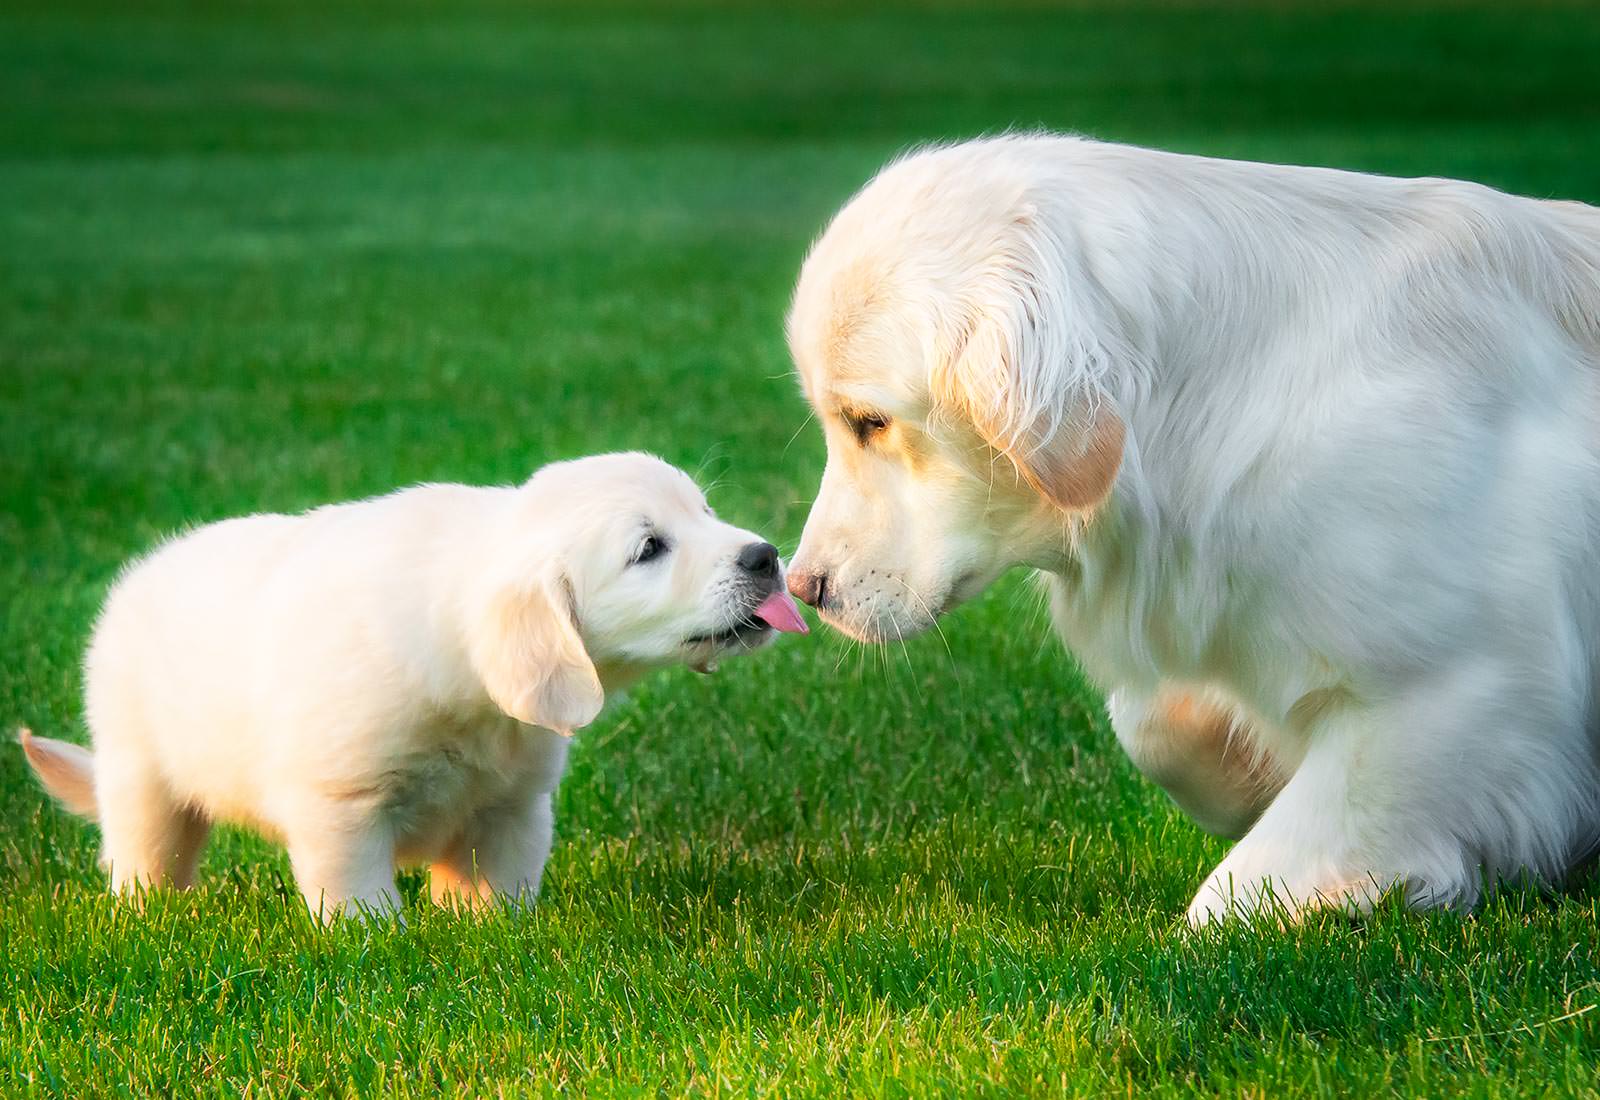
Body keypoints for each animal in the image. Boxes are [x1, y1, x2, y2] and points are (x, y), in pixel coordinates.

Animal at [20, 454, 806, 920]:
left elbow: (500, 889)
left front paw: (496, 934)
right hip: (140, 773)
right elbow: (358, 897)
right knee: (144, 852)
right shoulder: (340, 805)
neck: (474, 701)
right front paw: (376, 942)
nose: (766, 557)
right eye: (648, 549)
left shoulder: (512, 806)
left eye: (703, 513)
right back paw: (147, 914)